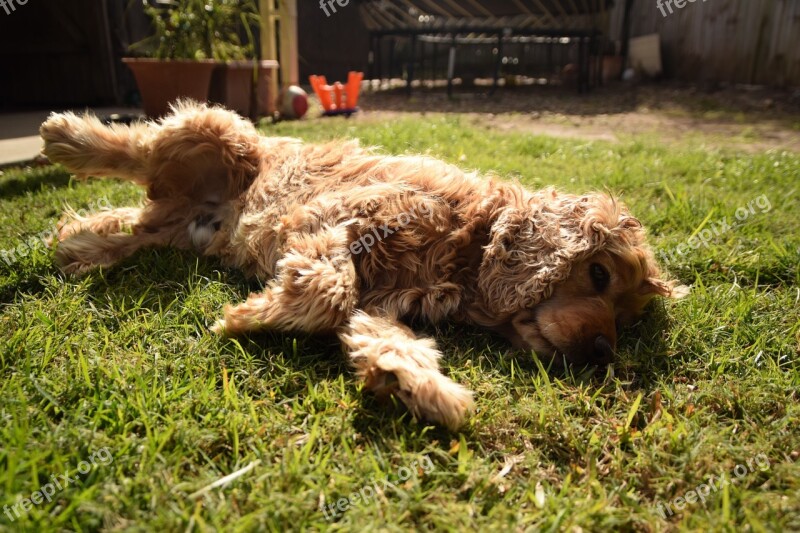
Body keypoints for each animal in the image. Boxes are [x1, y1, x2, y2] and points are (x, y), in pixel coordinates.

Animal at [40, 102, 680, 430]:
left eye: (629, 315)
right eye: (599, 275)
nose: (604, 351)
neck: (466, 245)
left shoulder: (381, 302)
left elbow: (380, 333)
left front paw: (418, 384)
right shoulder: (339, 215)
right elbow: (328, 288)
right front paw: (252, 314)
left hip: (182, 228)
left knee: (137, 225)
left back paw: (79, 244)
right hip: (226, 137)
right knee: (142, 148)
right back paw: (67, 136)